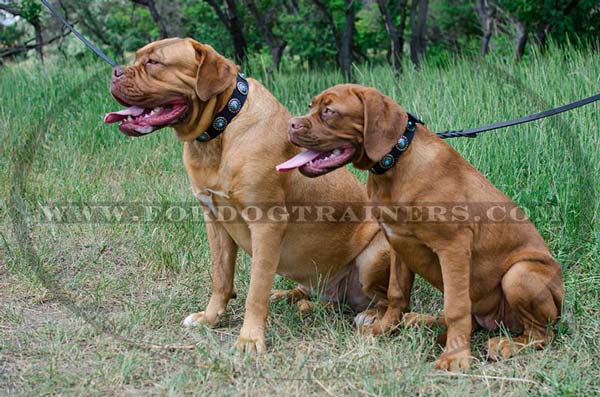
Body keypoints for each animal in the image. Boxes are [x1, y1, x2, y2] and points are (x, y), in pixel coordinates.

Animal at [105, 38, 392, 352]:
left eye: (154, 62)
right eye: (137, 58)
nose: (116, 72)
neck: (220, 129)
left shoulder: (266, 224)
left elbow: (256, 289)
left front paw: (250, 339)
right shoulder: (215, 220)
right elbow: (220, 277)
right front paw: (210, 318)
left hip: (375, 253)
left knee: (383, 299)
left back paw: (369, 315)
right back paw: (289, 297)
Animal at [284, 83, 564, 368]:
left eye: (329, 111)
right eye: (310, 106)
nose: (291, 125)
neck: (395, 163)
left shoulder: (453, 247)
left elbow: (456, 307)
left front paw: (455, 357)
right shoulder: (398, 244)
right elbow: (397, 294)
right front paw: (383, 328)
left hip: (519, 273)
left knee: (542, 333)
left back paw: (508, 344)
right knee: (474, 320)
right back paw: (422, 320)